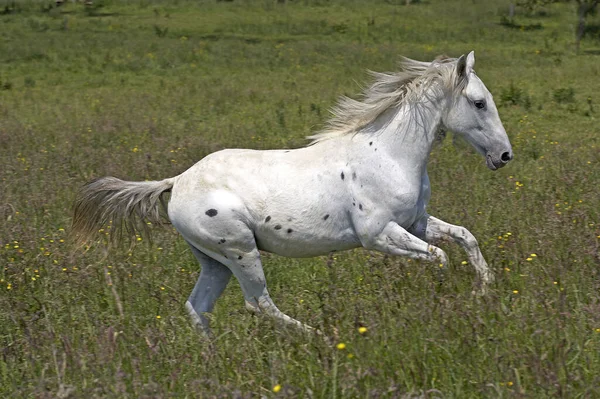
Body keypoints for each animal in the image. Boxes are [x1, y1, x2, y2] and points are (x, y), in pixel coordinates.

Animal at [70, 51, 510, 336]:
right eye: (478, 102)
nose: (505, 156)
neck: (387, 153)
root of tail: (176, 181)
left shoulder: (415, 222)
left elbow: (465, 238)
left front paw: (483, 290)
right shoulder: (379, 235)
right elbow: (439, 258)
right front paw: (447, 300)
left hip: (213, 261)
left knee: (198, 308)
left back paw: (212, 358)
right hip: (240, 251)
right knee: (258, 303)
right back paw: (320, 337)